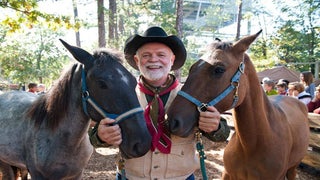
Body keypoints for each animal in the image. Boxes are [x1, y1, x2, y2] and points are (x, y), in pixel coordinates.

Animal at [168, 31, 310, 180]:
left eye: (219, 70)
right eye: (192, 67)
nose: (172, 120)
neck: (252, 145)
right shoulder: (227, 173)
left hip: (292, 168)